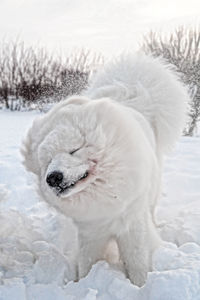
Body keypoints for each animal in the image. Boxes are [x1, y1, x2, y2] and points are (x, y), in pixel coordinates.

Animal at [21, 53, 188, 286]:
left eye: (74, 150)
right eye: (47, 161)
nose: (52, 178)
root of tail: (130, 94)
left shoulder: (132, 225)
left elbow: (137, 261)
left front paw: (140, 285)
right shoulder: (91, 232)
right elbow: (87, 263)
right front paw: (83, 283)